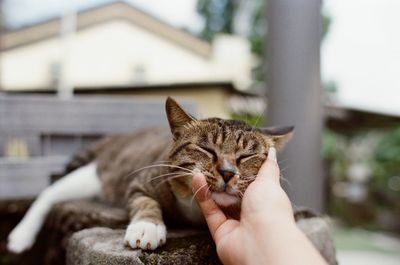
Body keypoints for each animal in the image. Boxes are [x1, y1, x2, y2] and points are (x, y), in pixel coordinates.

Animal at [7, 96, 294, 252]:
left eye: (246, 157)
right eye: (206, 149)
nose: (227, 172)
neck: (194, 210)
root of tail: (121, 136)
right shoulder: (139, 181)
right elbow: (145, 201)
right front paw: (147, 227)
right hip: (91, 176)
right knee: (49, 191)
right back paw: (21, 236)